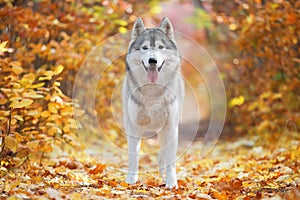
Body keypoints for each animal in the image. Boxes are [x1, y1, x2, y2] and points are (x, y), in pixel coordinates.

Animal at [121, 16, 183, 188]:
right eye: (145, 48)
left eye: (161, 47)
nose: (153, 60)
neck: (153, 92)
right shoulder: (134, 127)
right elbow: (133, 156)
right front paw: (131, 180)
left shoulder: (171, 128)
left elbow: (170, 161)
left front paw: (171, 183)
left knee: (163, 155)